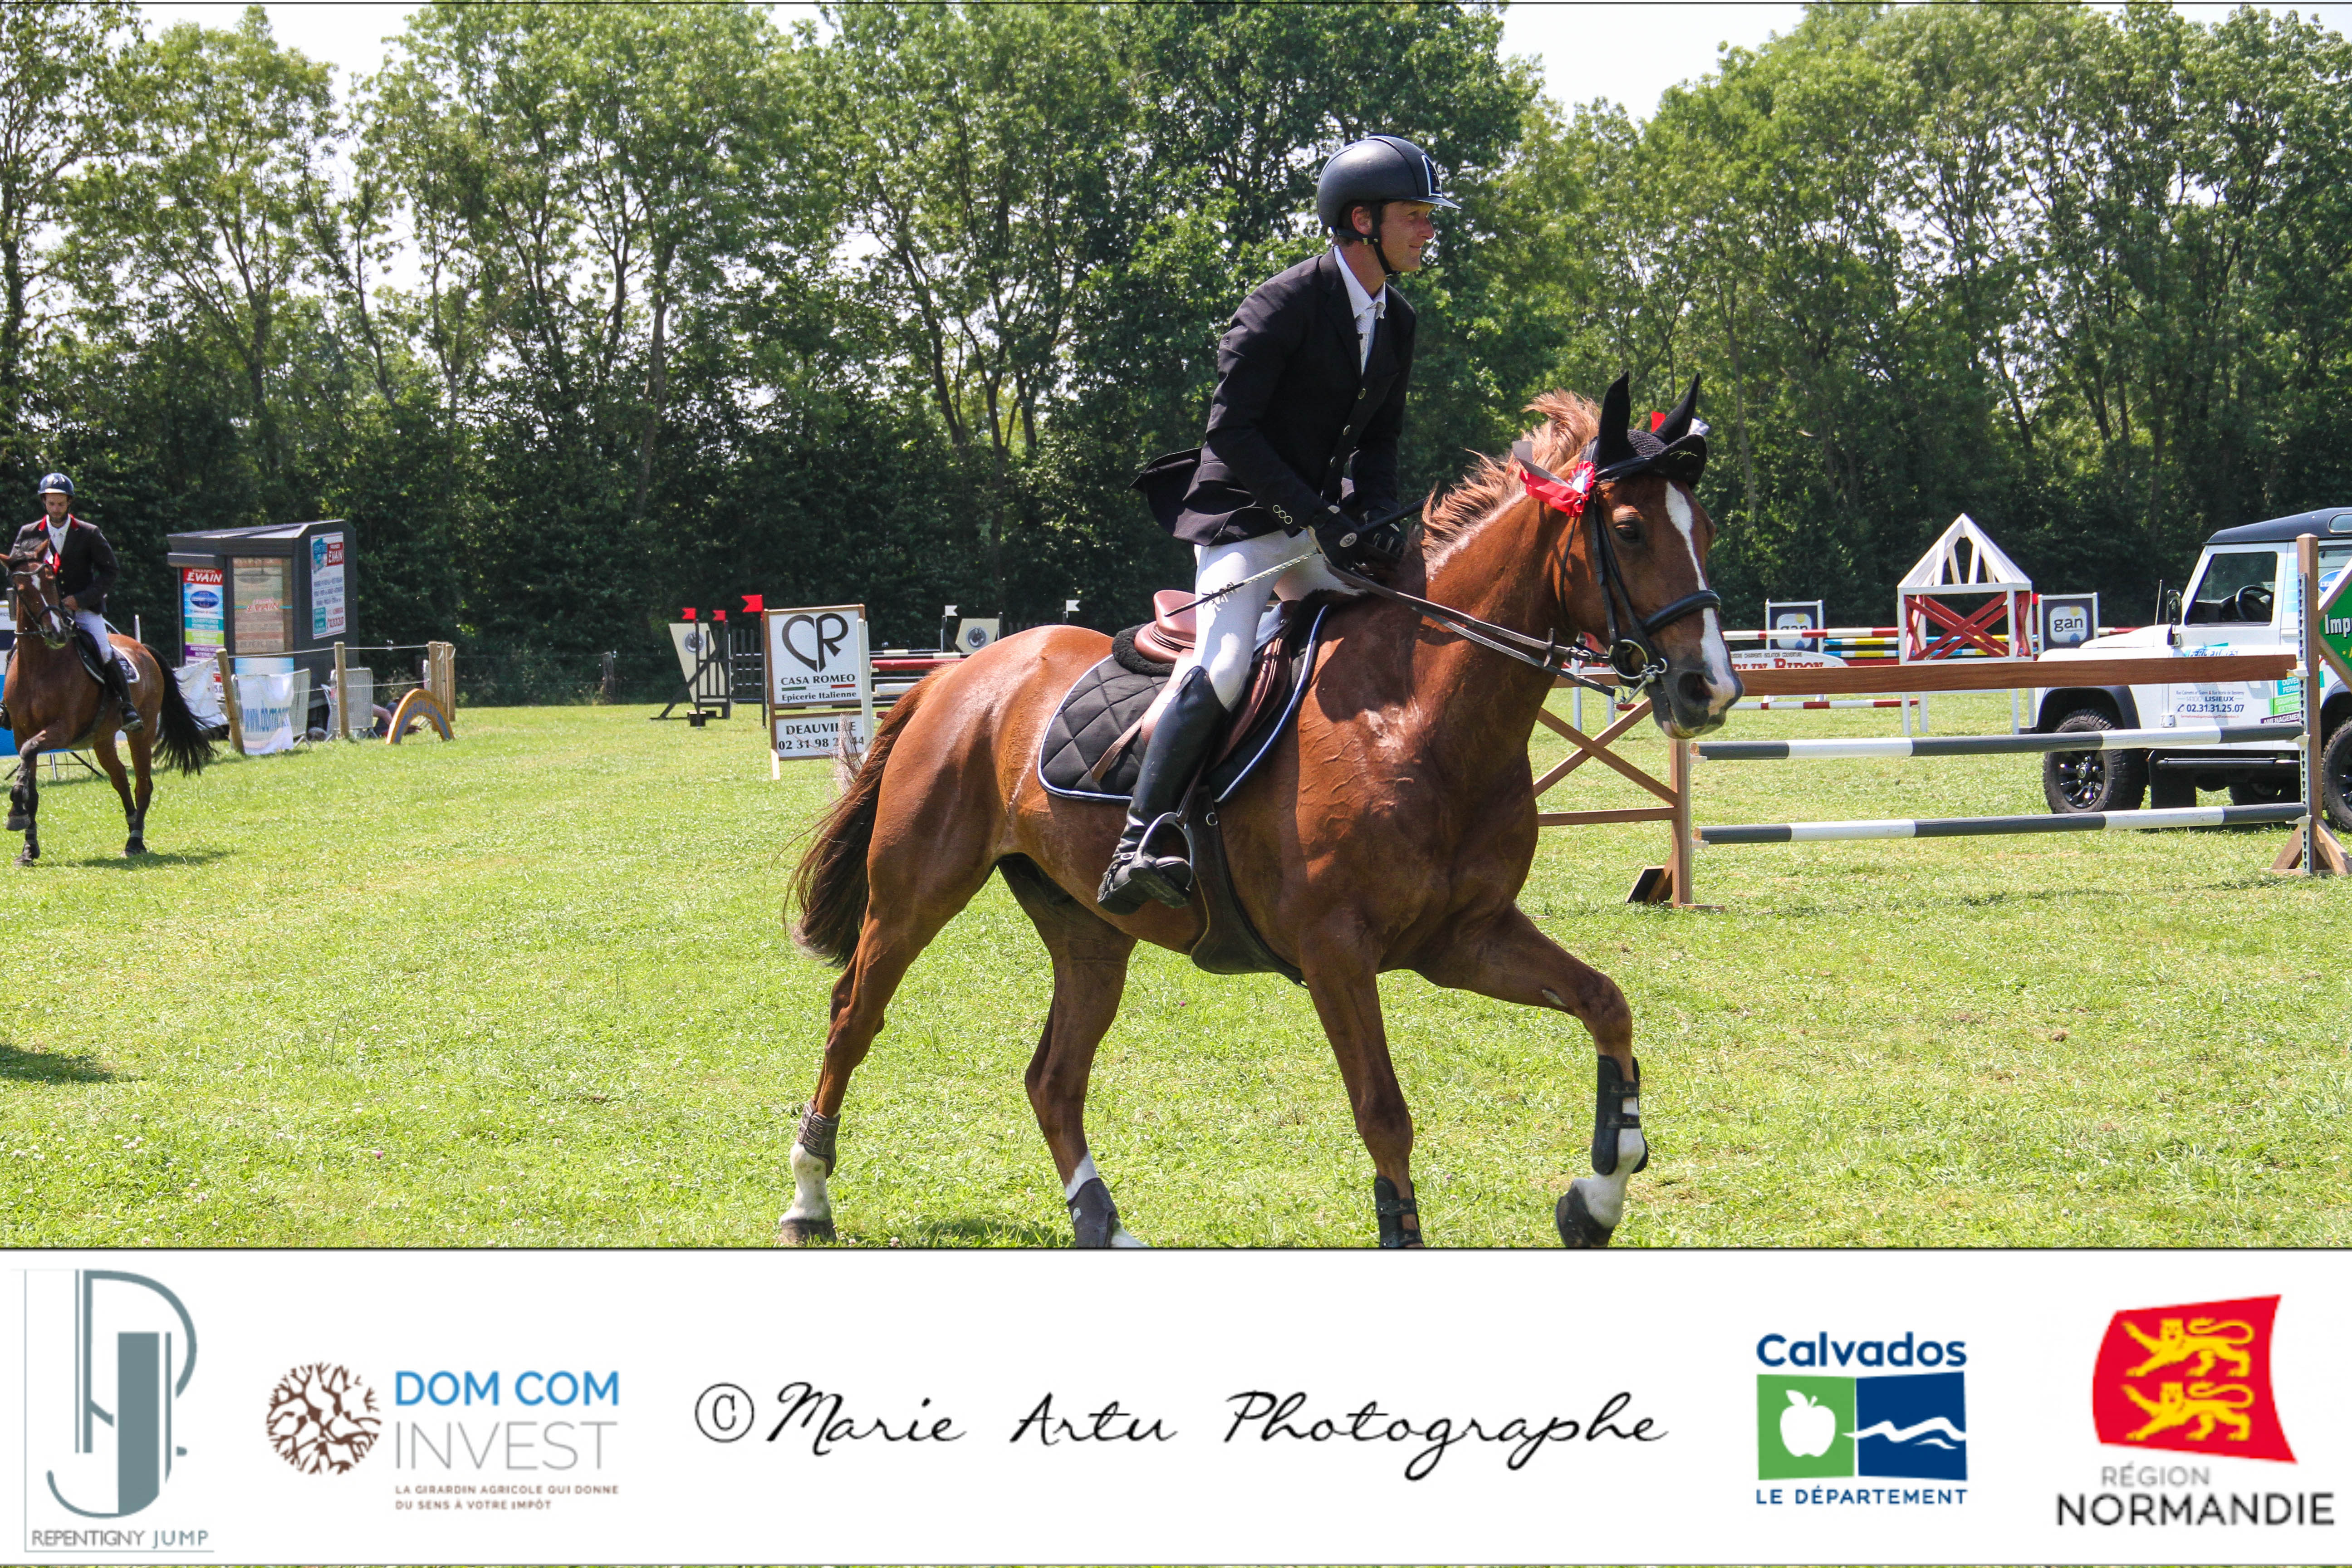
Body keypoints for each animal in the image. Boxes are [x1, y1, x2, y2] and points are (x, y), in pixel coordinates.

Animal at [6, 543, 214, 863]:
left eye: (52, 582)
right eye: (20, 588)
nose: (57, 633)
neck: (40, 666)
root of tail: (142, 647)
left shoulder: (62, 730)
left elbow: (30, 754)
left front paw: (16, 810)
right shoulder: (20, 732)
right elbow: (30, 779)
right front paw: (28, 846)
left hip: (141, 732)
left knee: (142, 784)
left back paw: (136, 840)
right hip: (102, 739)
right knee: (121, 781)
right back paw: (132, 826)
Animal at [781, 377, 1740, 1247]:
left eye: (1705, 533)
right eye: (1628, 530)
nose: (1710, 689)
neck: (1417, 717)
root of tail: (959, 675)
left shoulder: (1464, 938)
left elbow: (1605, 1005)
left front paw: (1597, 1195)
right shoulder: (1334, 951)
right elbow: (1382, 1112)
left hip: (1088, 929)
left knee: (1052, 1077)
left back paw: (1100, 1222)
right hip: (913, 896)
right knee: (851, 1017)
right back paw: (808, 1197)